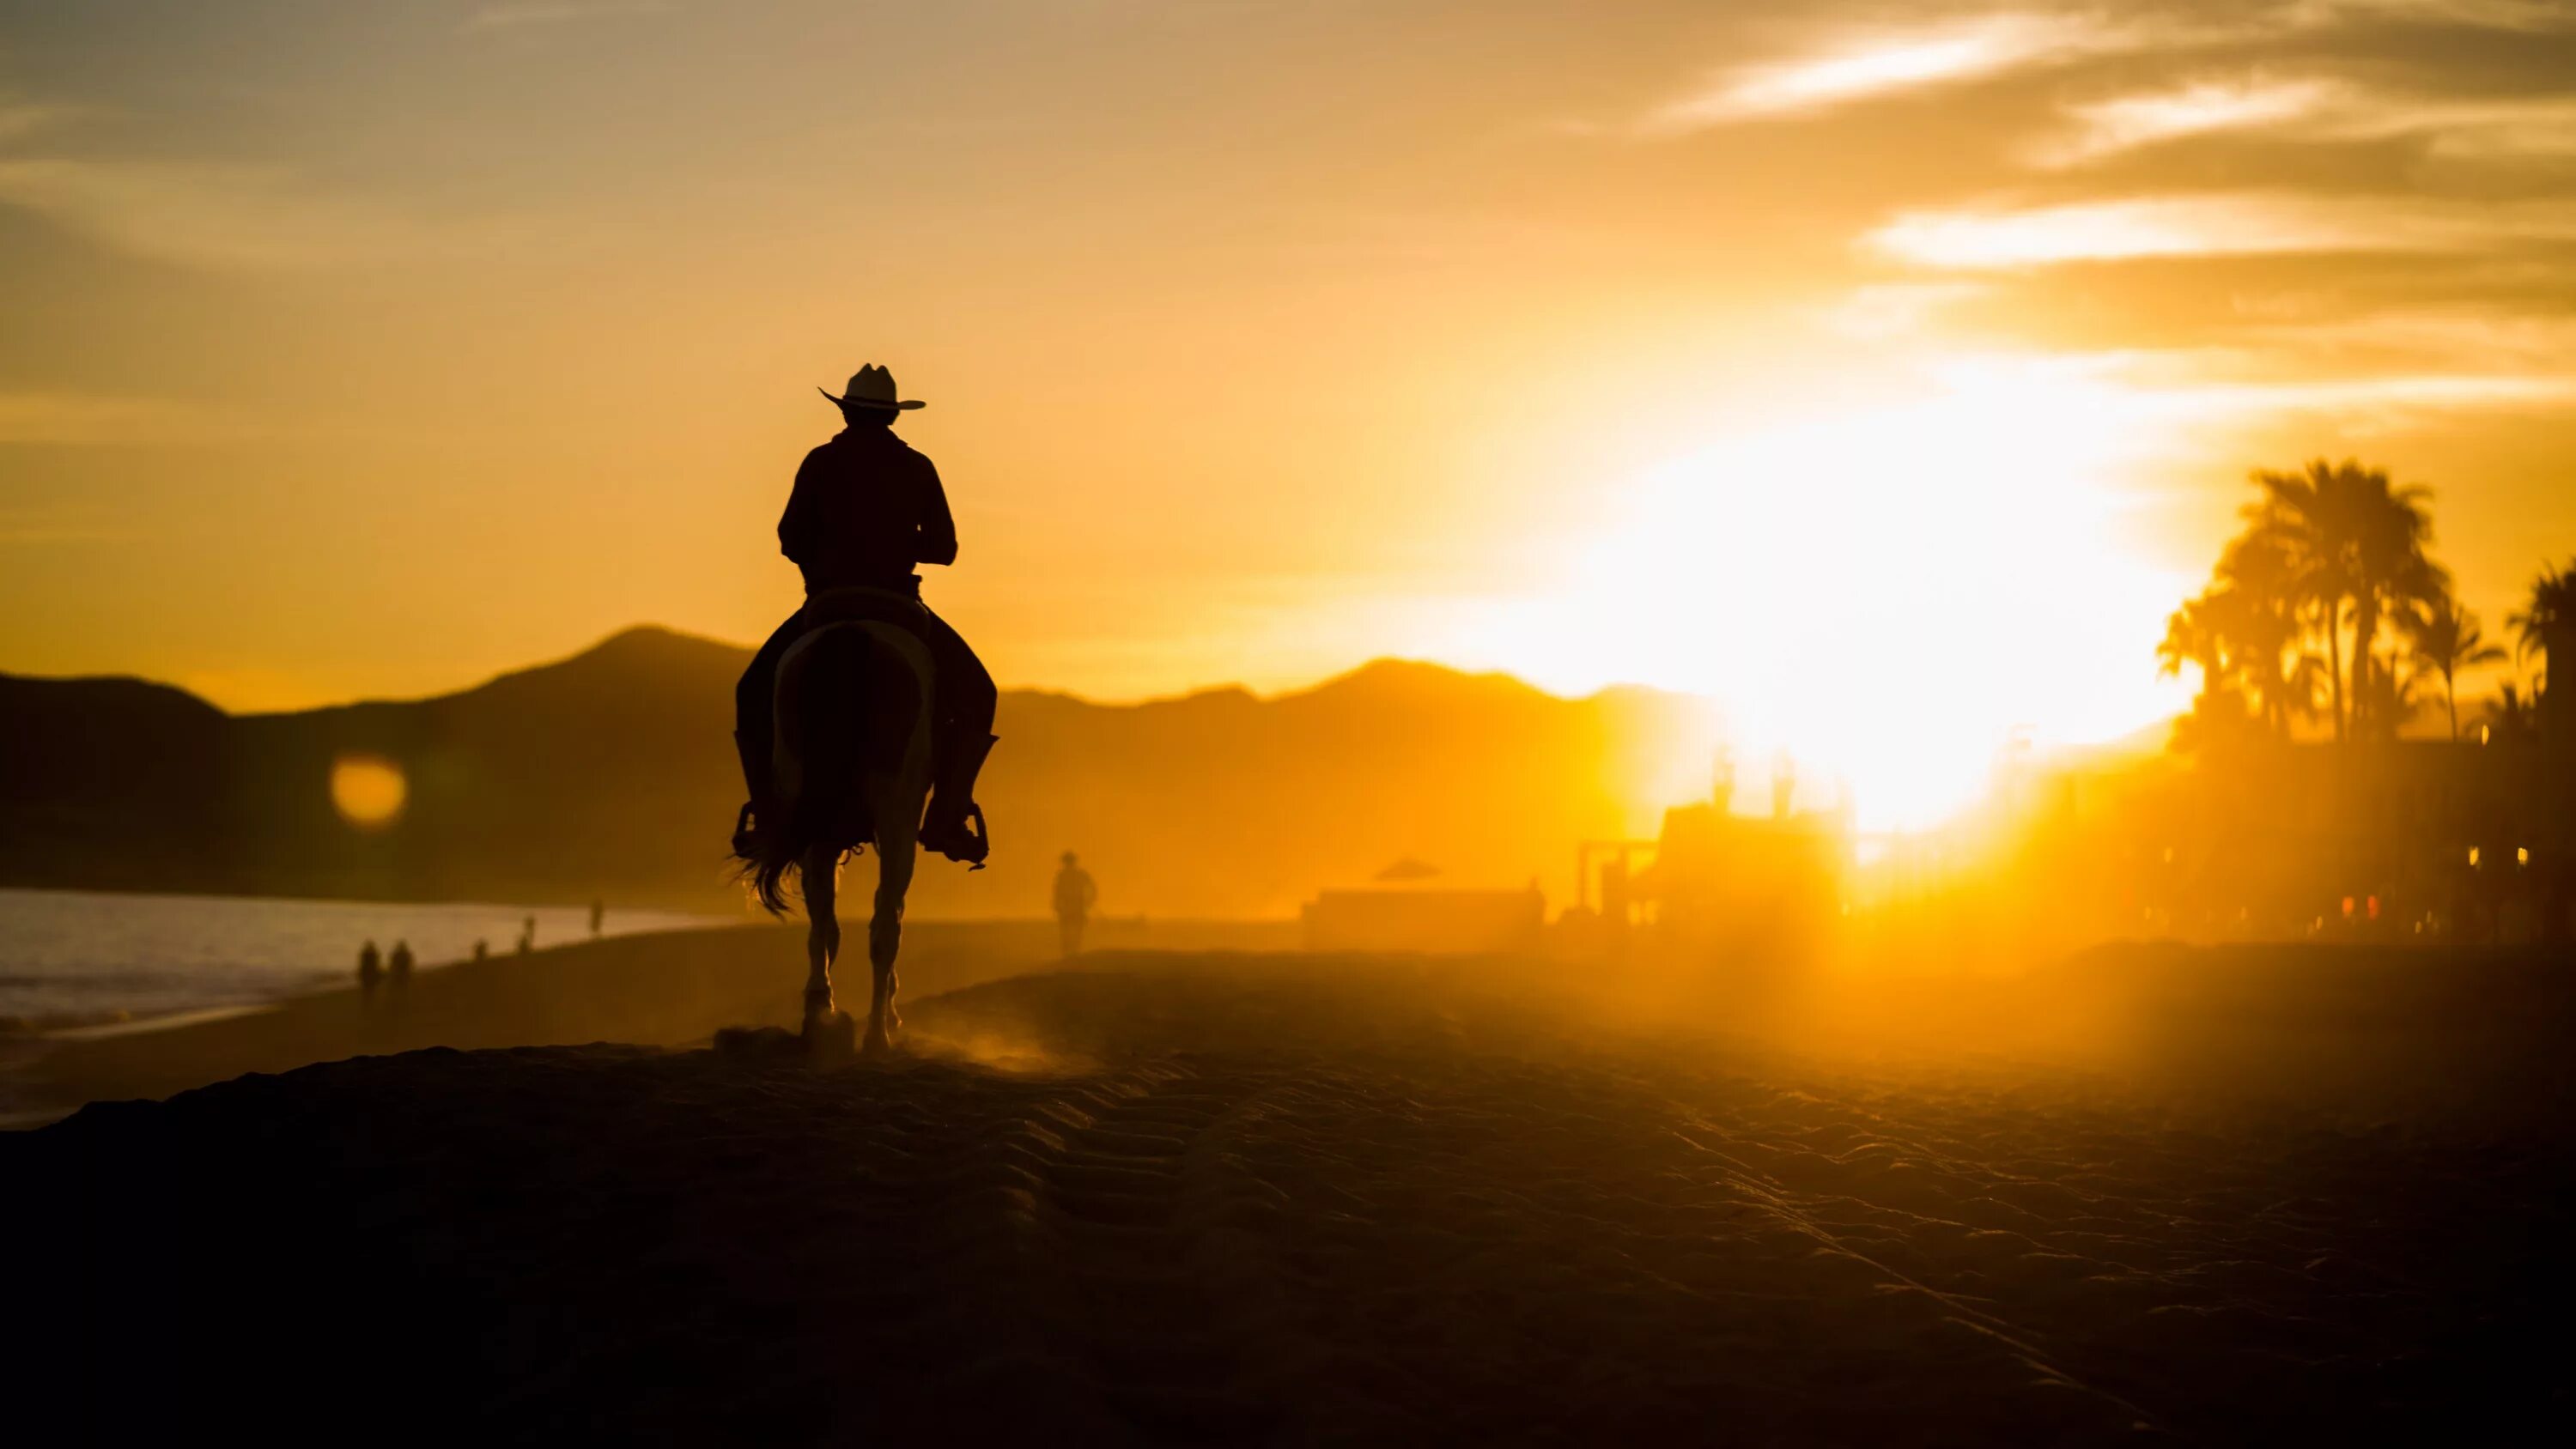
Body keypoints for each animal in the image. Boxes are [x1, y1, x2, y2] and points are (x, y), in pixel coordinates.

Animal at [737, 607, 938, 1060]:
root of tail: (850, 636)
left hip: (808, 804)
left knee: (823, 925)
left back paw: (819, 1018)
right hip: (896, 810)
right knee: (884, 929)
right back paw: (877, 1036)